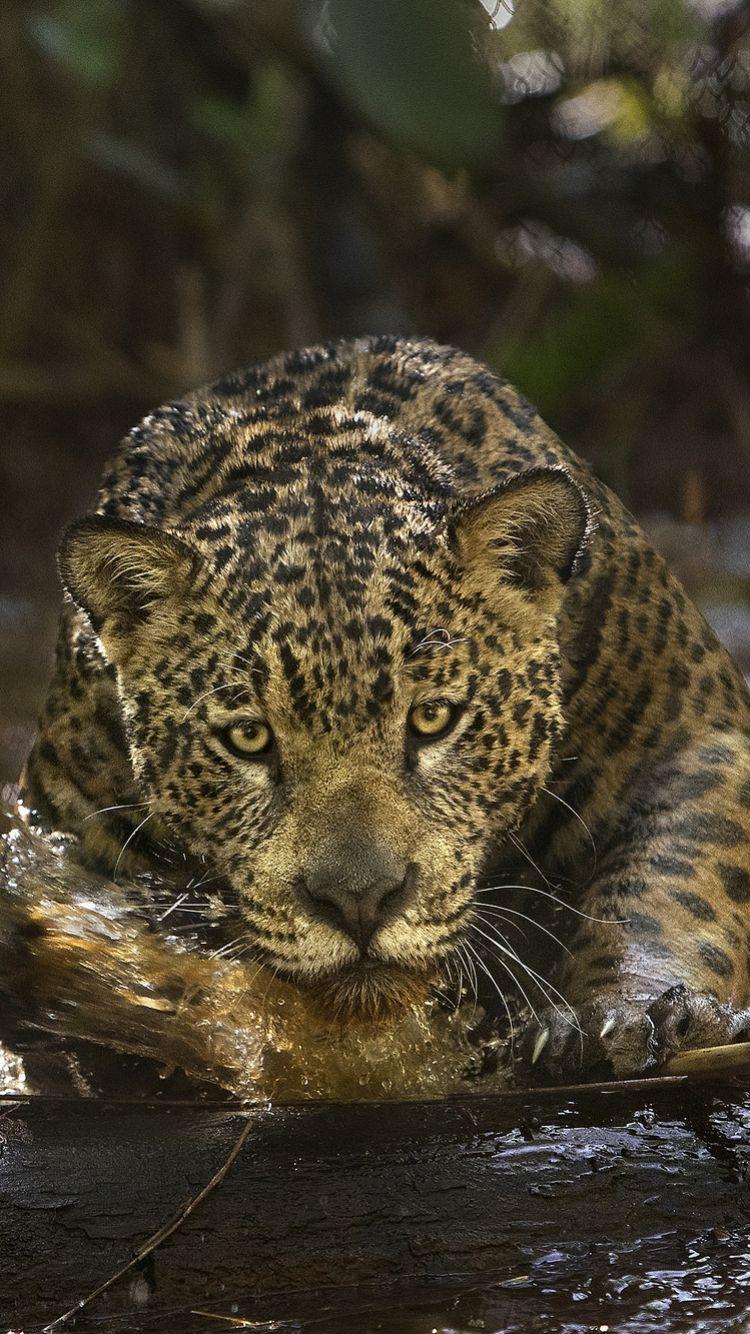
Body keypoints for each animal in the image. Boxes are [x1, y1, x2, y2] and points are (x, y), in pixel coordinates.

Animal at [20, 335, 750, 1083]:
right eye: (250, 738)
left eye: (432, 720)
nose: (360, 901)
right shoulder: (68, 817)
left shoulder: (686, 729)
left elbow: (669, 887)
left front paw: (624, 1011)